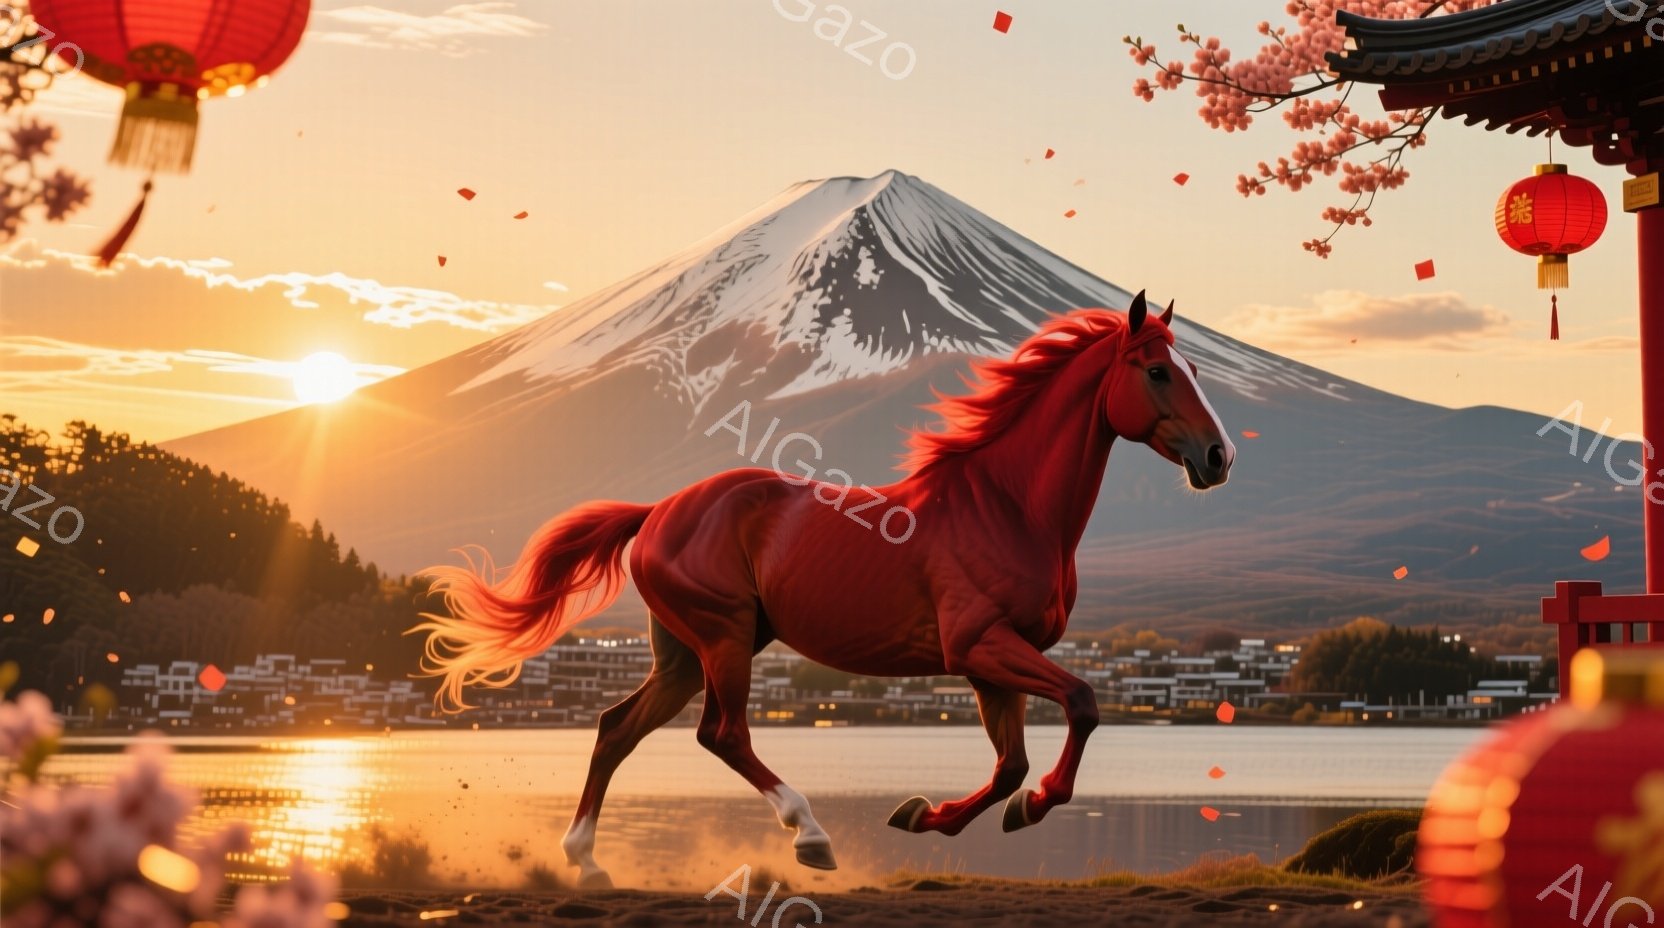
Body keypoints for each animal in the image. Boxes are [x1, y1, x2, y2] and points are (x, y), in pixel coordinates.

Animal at [410, 290, 1234, 888]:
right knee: (722, 733)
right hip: (723, 637)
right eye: (1157, 371)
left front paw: (925, 814)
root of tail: (656, 512)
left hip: (684, 651)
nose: (1219, 457)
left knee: (617, 727)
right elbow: (1084, 706)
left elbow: (1011, 766)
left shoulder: (989, 667)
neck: (1006, 507)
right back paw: (810, 835)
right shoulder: (981, 646)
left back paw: (586, 861)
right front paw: (1024, 810)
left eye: (1194, 369)